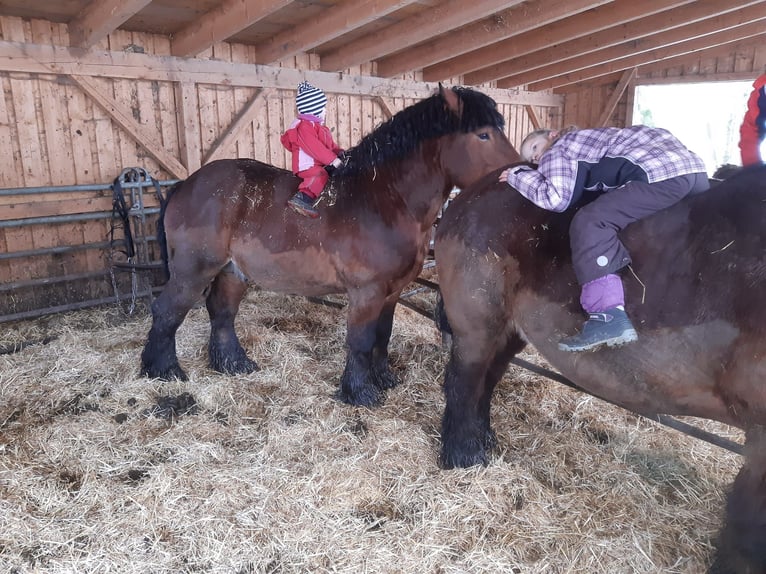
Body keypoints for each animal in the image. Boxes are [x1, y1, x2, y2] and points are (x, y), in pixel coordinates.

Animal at [141, 88, 520, 408]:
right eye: (483, 134)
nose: (515, 181)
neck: (384, 201)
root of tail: (185, 185)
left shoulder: (392, 292)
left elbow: (383, 335)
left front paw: (383, 379)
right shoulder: (366, 292)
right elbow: (361, 341)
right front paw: (360, 392)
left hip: (232, 271)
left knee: (222, 313)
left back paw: (233, 363)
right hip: (193, 270)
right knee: (167, 312)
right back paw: (163, 370)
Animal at [436, 164, 766, 572]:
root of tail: (468, 196)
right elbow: (748, 528)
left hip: (509, 330)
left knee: (485, 382)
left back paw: (484, 444)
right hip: (477, 323)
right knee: (464, 382)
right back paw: (463, 457)